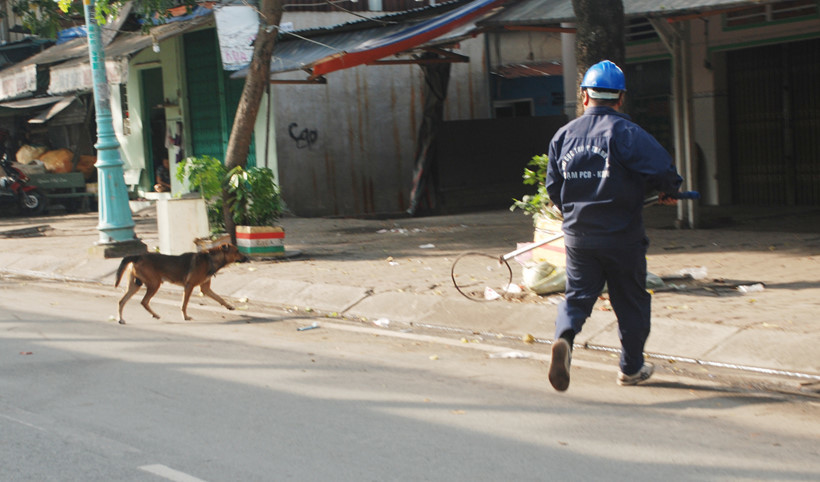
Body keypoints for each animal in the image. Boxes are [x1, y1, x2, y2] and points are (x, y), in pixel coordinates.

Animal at [114, 245, 247, 324]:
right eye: (237, 251)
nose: (247, 257)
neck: (210, 259)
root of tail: (137, 256)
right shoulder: (189, 286)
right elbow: (184, 304)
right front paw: (185, 317)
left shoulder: (205, 288)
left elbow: (219, 298)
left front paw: (229, 306)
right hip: (154, 284)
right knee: (143, 301)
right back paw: (153, 315)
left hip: (135, 285)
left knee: (122, 301)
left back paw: (121, 319)